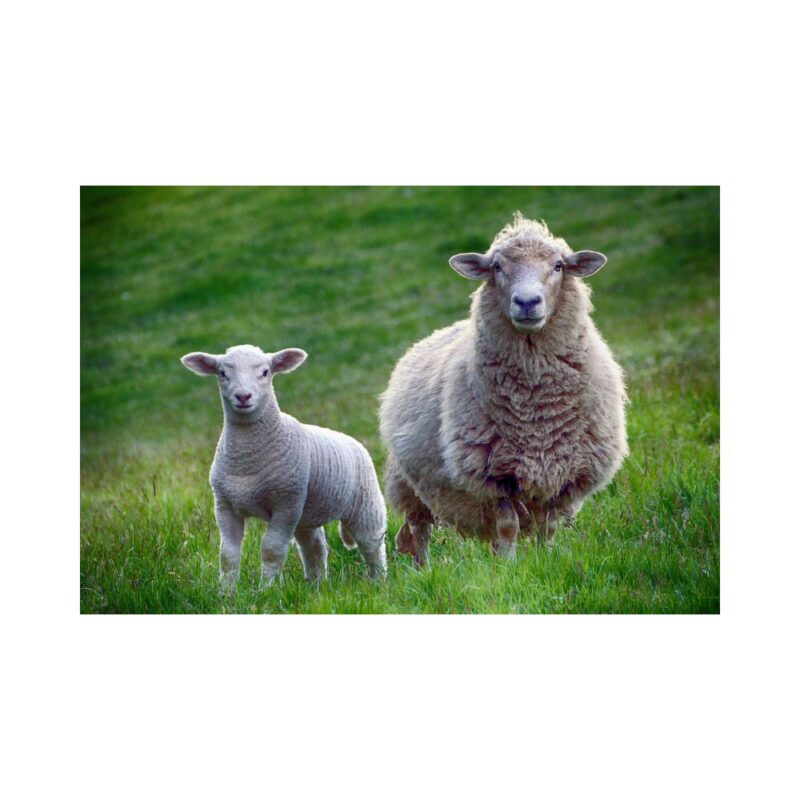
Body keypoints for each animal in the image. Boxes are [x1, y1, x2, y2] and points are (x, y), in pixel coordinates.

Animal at [181, 344, 387, 592]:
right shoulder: (224, 505)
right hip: (306, 512)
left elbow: (271, 549)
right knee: (314, 547)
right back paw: (316, 585)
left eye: (265, 372)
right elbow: (227, 554)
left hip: (365, 503)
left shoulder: (286, 504)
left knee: (372, 543)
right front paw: (226, 592)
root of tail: (353, 441)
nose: (243, 396)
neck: (246, 460)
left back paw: (378, 582)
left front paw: (266, 590)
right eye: (222, 373)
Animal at [379, 213, 628, 564]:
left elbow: (548, 527)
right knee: (419, 531)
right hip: (409, 485)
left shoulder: (564, 474)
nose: (527, 302)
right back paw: (424, 569)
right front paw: (509, 567)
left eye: (558, 266)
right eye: (497, 267)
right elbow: (508, 526)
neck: (536, 407)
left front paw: (544, 560)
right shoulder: (495, 476)